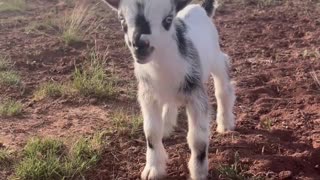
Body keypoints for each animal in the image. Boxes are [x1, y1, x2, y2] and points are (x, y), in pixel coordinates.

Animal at [102, 0, 235, 179]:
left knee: (223, 84)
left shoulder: (196, 94)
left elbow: (197, 139)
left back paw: (225, 123)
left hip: (215, 57)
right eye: (121, 19)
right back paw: (166, 125)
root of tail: (200, 8)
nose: (140, 45)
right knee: (169, 103)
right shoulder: (147, 95)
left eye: (168, 19)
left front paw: (198, 172)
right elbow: (151, 132)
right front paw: (153, 169)